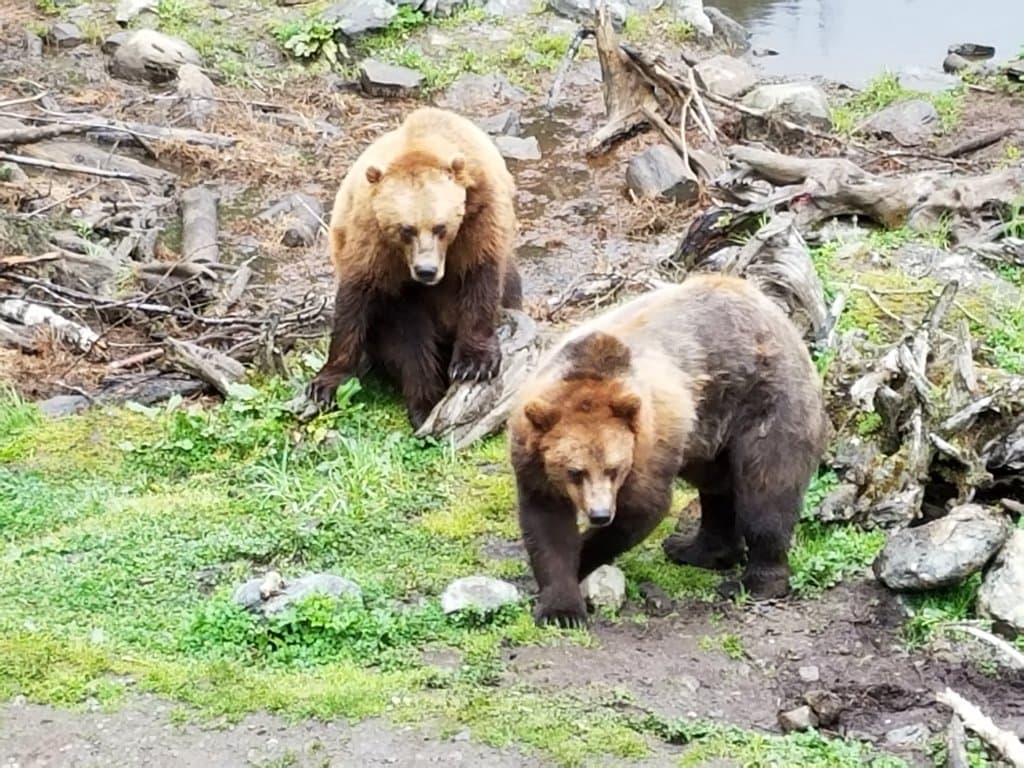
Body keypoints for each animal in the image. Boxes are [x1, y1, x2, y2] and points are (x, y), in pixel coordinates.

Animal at [306, 105, 523, 428]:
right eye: (405, 229)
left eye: (440, 227)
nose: (426, 271)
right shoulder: (371, 238)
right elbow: (356, 299)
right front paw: (325, 382)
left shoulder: (480, 213)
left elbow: (480, 276)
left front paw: (474, 364)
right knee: (409, 340)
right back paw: (425, 404)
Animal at [506, 274, 831, 627]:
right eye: (575, 471)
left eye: (614, 469)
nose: (600, 514)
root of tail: (771, 309)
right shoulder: (532, 454)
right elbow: (546, 522)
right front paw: (559, 607)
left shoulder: (649, 445)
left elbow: (642, 508)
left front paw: (583, 560)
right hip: (709, 424)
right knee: (718, 487)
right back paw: (697, 549)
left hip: (768, 401)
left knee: (766, 488)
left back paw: (752, 582)